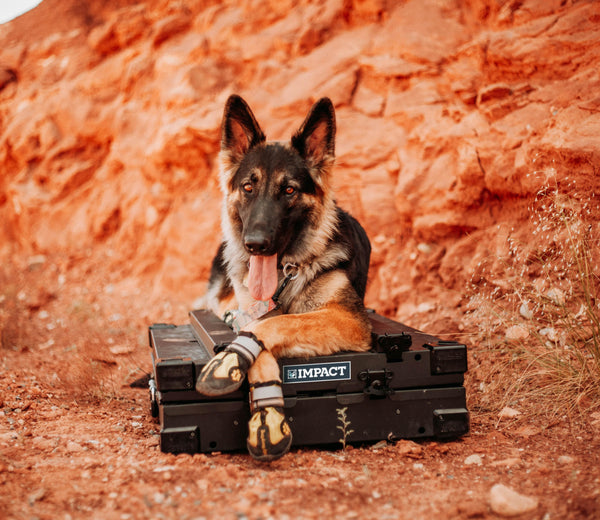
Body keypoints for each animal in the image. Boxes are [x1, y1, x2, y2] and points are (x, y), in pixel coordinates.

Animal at [197, 95, 370, 462]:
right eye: (248, 187)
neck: (285, 275)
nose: (256, 244)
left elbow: (276, 324)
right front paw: (266, 412)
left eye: (289, 189)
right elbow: (258, 324)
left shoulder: (347, 319)